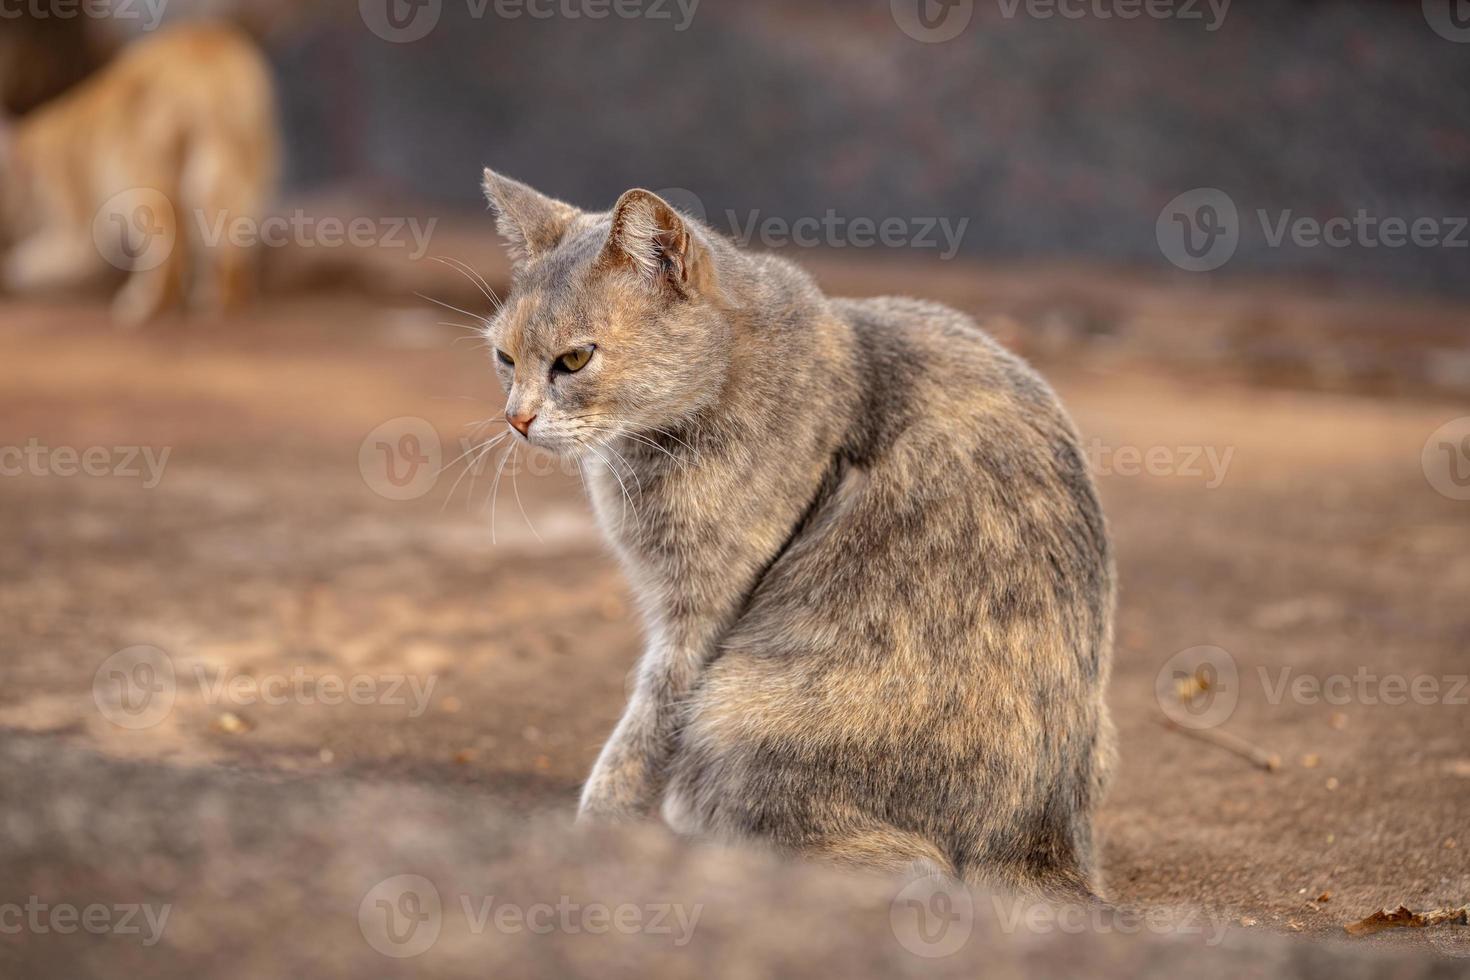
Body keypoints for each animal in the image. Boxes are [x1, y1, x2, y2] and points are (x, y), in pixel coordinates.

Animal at [0, 23, 277, 326]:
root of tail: (204, 54)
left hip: (144, 179)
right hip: (233, 167)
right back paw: (225, 302)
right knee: (227, 243)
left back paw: (147, 306)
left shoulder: (77, 228)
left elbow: (33, 256)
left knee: (170, 253)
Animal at [479, 170, 1111, 899]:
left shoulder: (698, 615)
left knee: (902, 864)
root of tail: (1037, 840)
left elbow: (642, 729)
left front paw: (596, 824)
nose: (516, 418)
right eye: (504, 357)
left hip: (741, 708)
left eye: (575, 359)